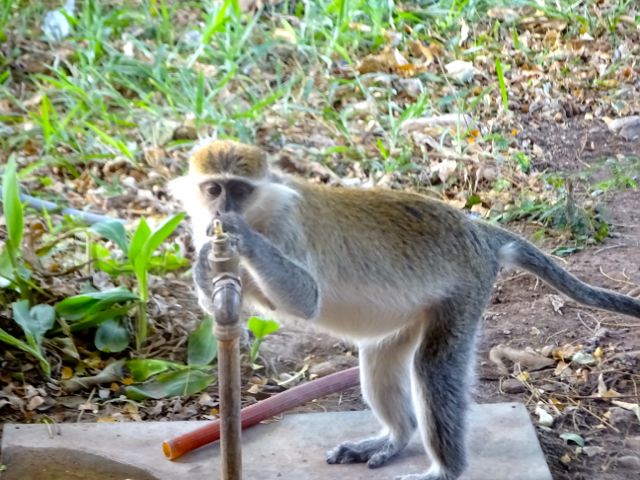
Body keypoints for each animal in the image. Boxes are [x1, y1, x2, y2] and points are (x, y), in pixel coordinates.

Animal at [170, 141, 640, 478]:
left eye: (239, 189)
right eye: (214, 188)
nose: (222, 209)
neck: (263, 210)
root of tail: (478, 232)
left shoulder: (288, 226)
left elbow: (307, 298)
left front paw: (240, 236)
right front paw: (205, 264)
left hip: (465, 289)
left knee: (432, 367)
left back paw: (445, 471)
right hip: (412, 313)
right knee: (379, 358)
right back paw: (395, 439)